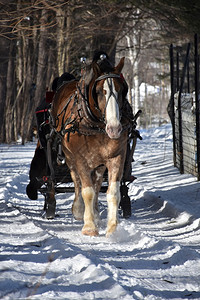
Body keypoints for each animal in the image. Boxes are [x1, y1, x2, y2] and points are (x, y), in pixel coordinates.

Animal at [50, 55, 133, 237]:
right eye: (99, 91)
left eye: (122, 90)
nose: (114, 128)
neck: (96, 125)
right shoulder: (80, 159)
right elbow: (87, 191)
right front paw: (89, 227)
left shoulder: (117, 156)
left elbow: (112, 192)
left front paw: (112, 228)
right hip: (70, 157)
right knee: (77, 181)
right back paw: (79, 210)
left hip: (99, 163)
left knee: (97, 182)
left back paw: (95, 213)